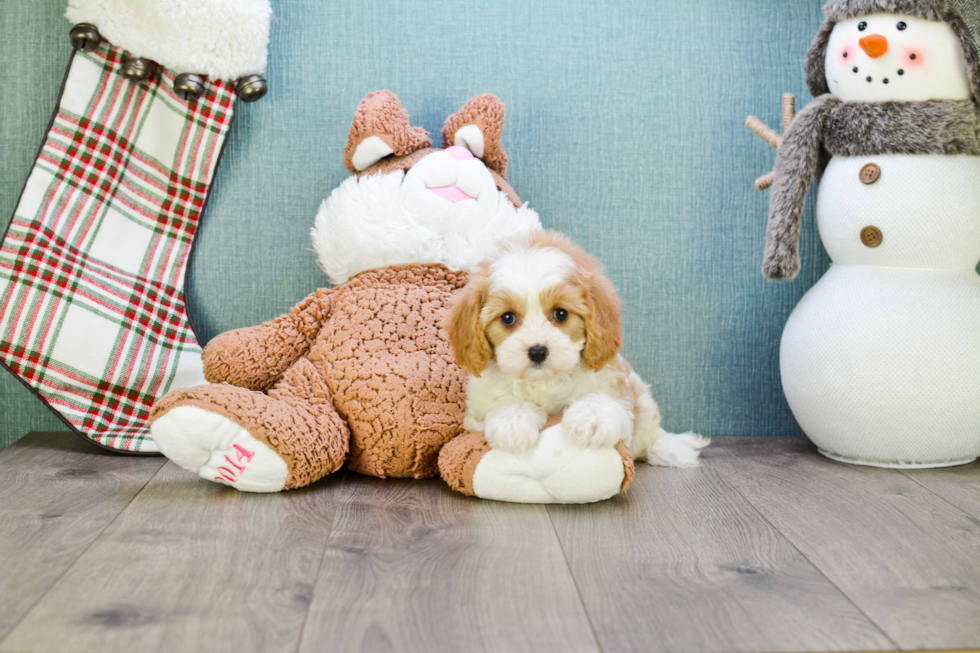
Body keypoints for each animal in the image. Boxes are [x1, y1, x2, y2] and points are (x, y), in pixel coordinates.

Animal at [448, 229, 708, 464]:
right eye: (507, 318)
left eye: (561, 314)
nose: (538, 351)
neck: (545, 381)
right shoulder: (476, 415)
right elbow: (504, 401)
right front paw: (513, 422)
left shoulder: (620, 397)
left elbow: (603, 400)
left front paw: (592, 419)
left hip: (644, 399)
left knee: (650, 436)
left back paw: (670, 450)